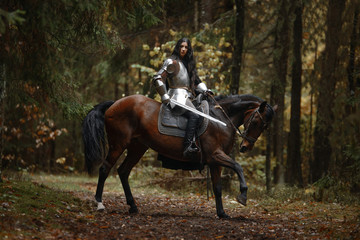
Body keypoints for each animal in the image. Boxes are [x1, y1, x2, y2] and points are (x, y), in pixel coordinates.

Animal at [83, 94, 278, 218]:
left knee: (123, 171)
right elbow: (238, 167)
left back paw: (133, 206)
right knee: (105, 169)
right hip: (118, 144)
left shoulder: (215, 161)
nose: (245, 147)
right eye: (256, 121)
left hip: (138, 147)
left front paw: (222, 213)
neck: (220, 119)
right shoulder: (215, 155)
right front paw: (243, 195)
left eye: (265, 127)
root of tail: (114, 103)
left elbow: (218, 187)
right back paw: (100, 203)